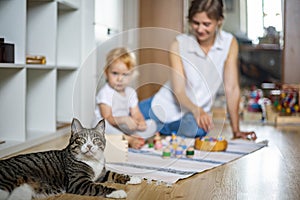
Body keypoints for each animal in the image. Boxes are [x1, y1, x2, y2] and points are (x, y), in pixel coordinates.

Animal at [0, 118, 141, 199]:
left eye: (95, 140)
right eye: (81, 140)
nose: (89, 146)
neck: (92, 161)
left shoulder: (101, 174)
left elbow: (114, 174)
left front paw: (133, 178)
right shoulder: (79, 182)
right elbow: (99, 187)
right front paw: (117, 192)